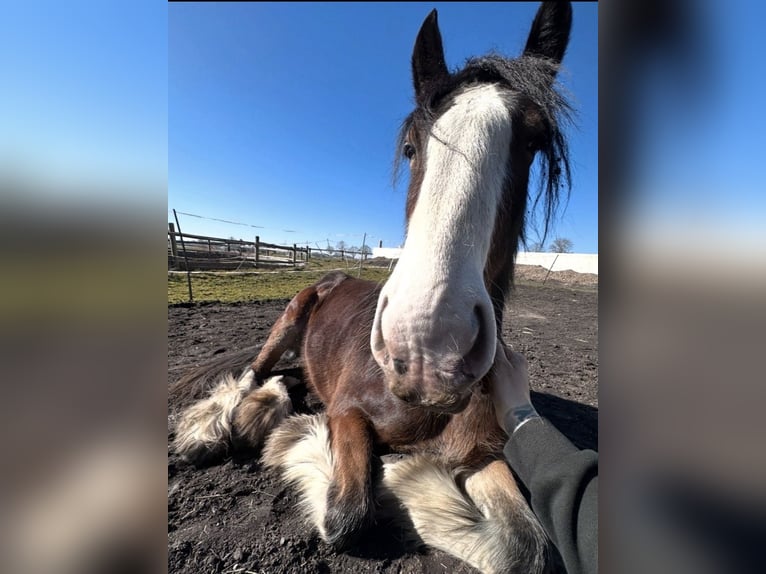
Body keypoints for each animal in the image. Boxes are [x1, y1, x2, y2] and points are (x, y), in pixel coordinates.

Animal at [171, 3, 573, 573]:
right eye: (410, 147)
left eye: (534, 141)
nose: (427, 345)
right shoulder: (347, 412)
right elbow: (347, 514)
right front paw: (317, 443)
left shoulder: (481, 450)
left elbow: (526, 544)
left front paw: (411, 477)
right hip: (289, 319)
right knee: (254, 374)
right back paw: (213, 429)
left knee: (287, 377)